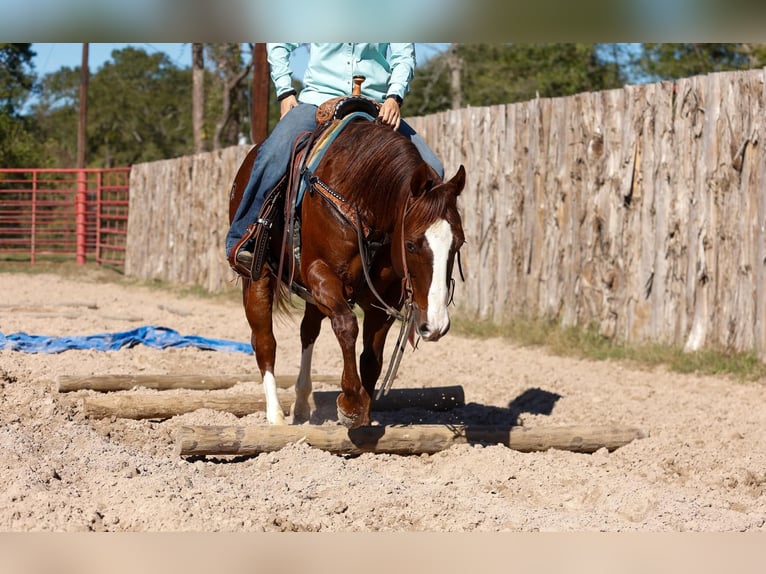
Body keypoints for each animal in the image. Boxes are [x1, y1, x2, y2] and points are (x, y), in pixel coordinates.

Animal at [229, 114, 466, 429]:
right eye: (411, 244)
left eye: (458, 243)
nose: (436, 325)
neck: (361, 200)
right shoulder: (321, 274)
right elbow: (346, 325)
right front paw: (351, 403)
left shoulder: (384, 299)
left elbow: (372, 356)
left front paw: (364, 413)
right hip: (257, 277)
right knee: (264, 339)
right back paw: (275, 415)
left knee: (308, 331)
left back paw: (301, 404)